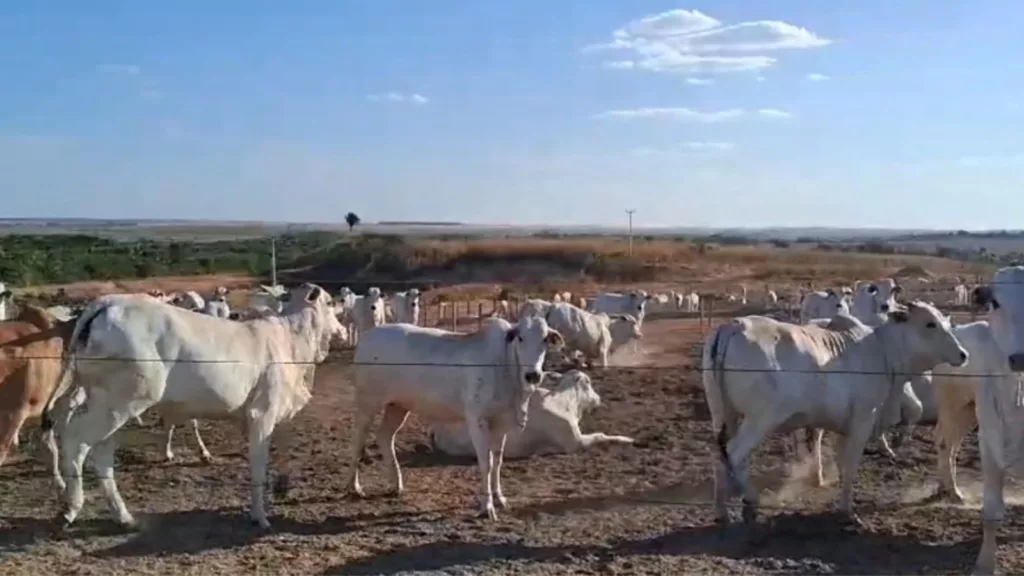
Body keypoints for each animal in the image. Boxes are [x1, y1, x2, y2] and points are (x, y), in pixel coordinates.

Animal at [40, 280, 344, 528]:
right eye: (330, 303)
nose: (341, 330)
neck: (291, 341)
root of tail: (108, 302)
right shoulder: (262, 413)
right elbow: (259, 464)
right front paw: (260, 516)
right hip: (123, 401)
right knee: (76, 440)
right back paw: (71, 506)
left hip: (110, 404)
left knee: (101, 452)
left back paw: (123, 516)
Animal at [348, 315, 565, 518]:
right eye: (520, 338)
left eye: (545, 339)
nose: (533, 375)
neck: (505, 364)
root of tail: (368, 336)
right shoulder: (476, 419)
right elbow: (486, 463)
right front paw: (487, 506)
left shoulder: (500, 422)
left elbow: (498, 461)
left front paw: (500, 498)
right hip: (368, 401)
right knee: (358, 439)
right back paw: (355, 487)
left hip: (398, 406)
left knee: (385, 436)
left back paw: (396, 484)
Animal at [425, 368, 630, 459]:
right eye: (588, 383)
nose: (598, 398)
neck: (564, 403)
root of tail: (437, 430)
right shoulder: (574, 442)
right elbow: (600, 435)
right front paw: (627, 439)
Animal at [704, 301, 966, 524]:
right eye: (929, 323)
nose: (963, 354)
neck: (883, 351)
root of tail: (733, 326)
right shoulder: (862, 421)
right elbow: (850, 467)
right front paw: (848, 512)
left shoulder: (844, 427)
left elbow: (842, 465)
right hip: (760, 420)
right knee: (734, 454)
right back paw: (750, 501)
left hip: (723, 415)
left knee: (719, 455)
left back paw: (720, 511)